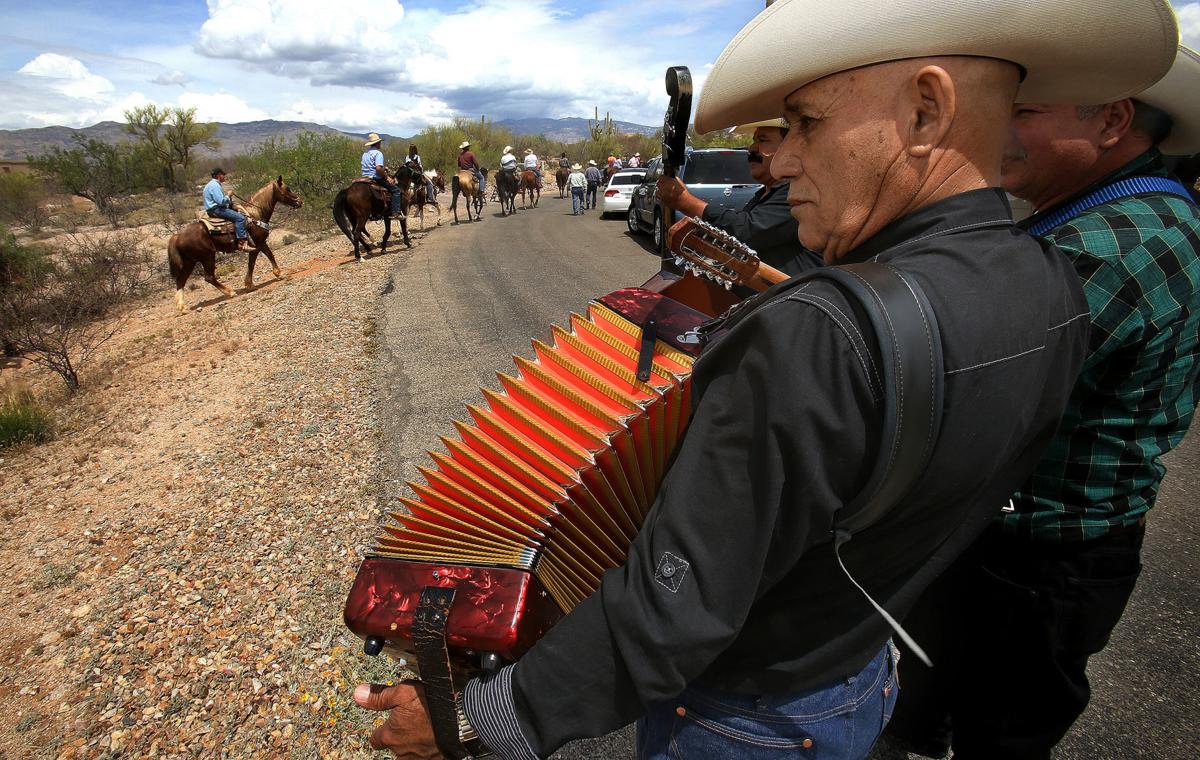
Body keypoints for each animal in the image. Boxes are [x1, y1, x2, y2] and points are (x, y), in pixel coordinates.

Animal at [166, 175, 302, 312]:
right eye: (287, 188)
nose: (300, 201)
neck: (255, 214)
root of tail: (176, 237)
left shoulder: (255, 246)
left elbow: (252, 263)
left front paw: (249, 285)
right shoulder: (260, 242)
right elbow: (268, 256)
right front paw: (280, 274)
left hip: (190, 261)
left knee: (181, 280)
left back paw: (182, 306)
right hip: (207, 257)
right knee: (209, 277)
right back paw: (230, 292)